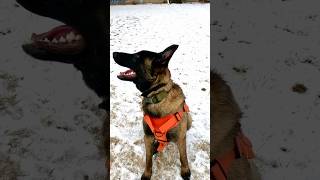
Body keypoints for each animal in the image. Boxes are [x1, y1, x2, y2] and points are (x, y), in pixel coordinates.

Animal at [113, 44, 191, 179]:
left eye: (137, 57)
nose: (114, 53)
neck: (156, 96)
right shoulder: (148, 137)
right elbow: (148, 159)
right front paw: (147, 174)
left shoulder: (181, 138)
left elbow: (183, 156)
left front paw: (185, 171)